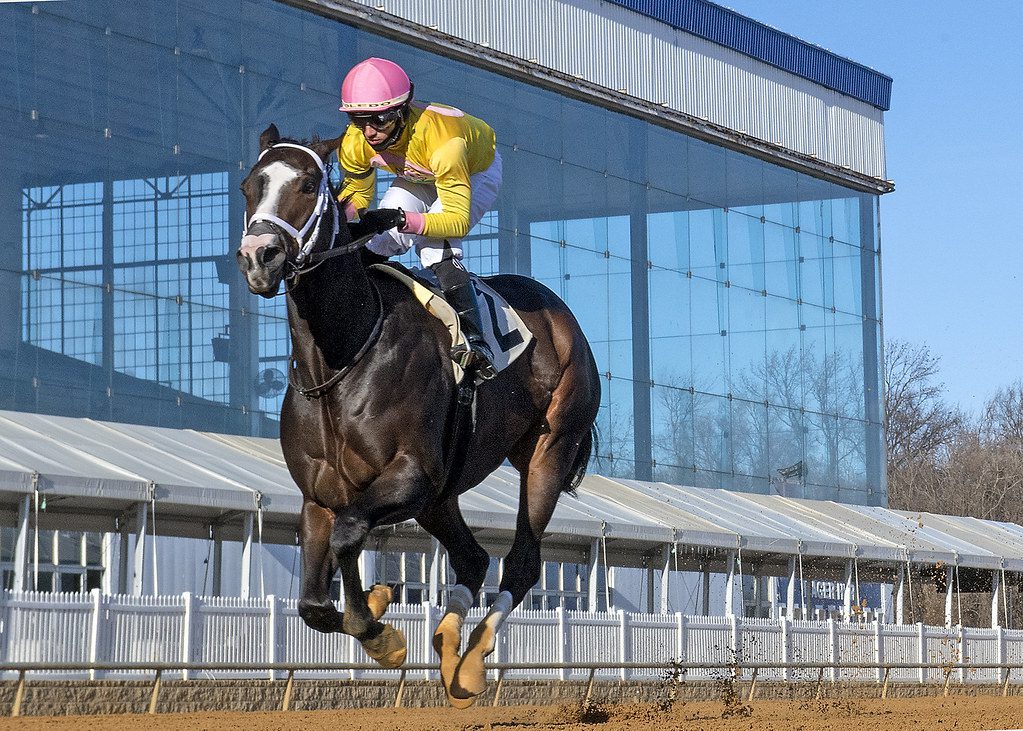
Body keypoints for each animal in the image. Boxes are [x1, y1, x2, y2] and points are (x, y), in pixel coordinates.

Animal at [234, 123, 597, 707]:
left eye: (310, 183)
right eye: (250, 185)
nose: (258, 256)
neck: (343, 353)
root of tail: (563, 319)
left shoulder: (410, 475)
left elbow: (349, 535)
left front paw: (380, 631)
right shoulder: (320, 495)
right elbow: (311, 603)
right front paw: (376, 611)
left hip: (548, 449)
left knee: (522, 559)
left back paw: (470, 663)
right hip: (442, 494)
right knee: (472, 558)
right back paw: (448, 642)